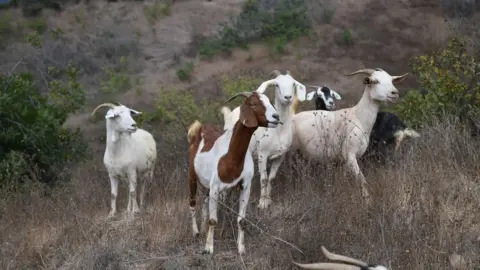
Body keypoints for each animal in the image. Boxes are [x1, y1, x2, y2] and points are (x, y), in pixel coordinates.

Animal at [186, 90, 280, 253]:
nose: (276, 117)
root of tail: (200, 128)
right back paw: (196, 232)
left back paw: (203, 229)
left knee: (204, 203)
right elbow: (213, 220)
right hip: (192, 176)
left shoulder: (245, 186)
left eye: (270, 101)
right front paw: (209, 248)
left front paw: (241, 248)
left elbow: (241, 220)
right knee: (192, 203)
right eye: (253, 103)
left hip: (207, 185)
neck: (231, 157)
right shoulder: (216, 187)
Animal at [221, 69, 308, 209]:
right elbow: (264, 178)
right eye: (277, 85)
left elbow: (271, 177)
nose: (288, 97)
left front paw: (268, 200)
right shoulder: (263, 155)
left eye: (293, 84)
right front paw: (262, 203)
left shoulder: (280, 156)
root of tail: (230, 114)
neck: (278, 131)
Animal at [290, 68, 406, 204]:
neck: (358, 117)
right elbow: (361, 179)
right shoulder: (350, 154)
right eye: (375, 81)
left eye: (391, 80)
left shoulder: (346, 160)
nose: (394, 93)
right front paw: (368, 201)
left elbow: (345, 178)